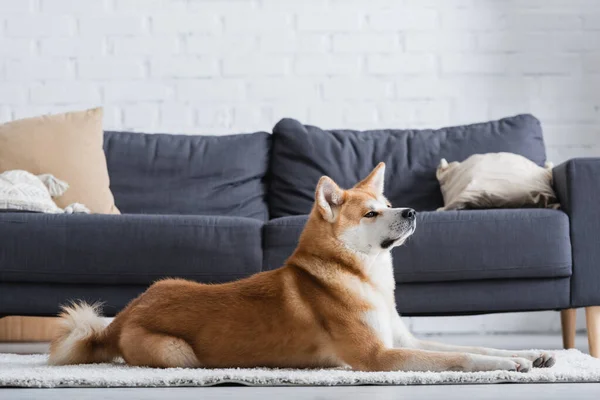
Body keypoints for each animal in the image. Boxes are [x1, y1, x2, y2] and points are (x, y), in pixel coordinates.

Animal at [49, 162, 556, 372]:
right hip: (177, 353)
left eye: (389, 202)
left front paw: (532, 354)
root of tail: (120, 318)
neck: (362, 277)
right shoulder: (380, 356)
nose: (412, 212)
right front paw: (509, 362)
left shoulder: (403, 340)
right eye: (371, 213)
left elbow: (470, 345)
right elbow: (458, 357)